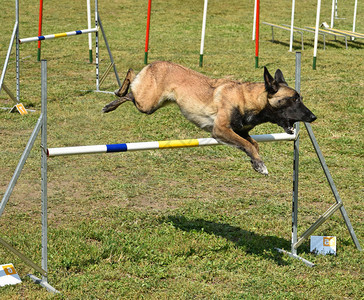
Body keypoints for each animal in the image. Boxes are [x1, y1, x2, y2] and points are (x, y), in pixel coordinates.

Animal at [102, 62, 316, 175]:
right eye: (294, 99)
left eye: (299, 98)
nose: (313, 117)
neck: (247, 99)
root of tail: (154, 63)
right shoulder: (220, 130)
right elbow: (247, 145)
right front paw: (260, 165)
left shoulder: (240, 131)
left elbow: (252, 144)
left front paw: (255, 162)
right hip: (148, 104)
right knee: (130, 77)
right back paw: (114, 98)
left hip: (154, 104)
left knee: (131, 88)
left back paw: (115, 98)